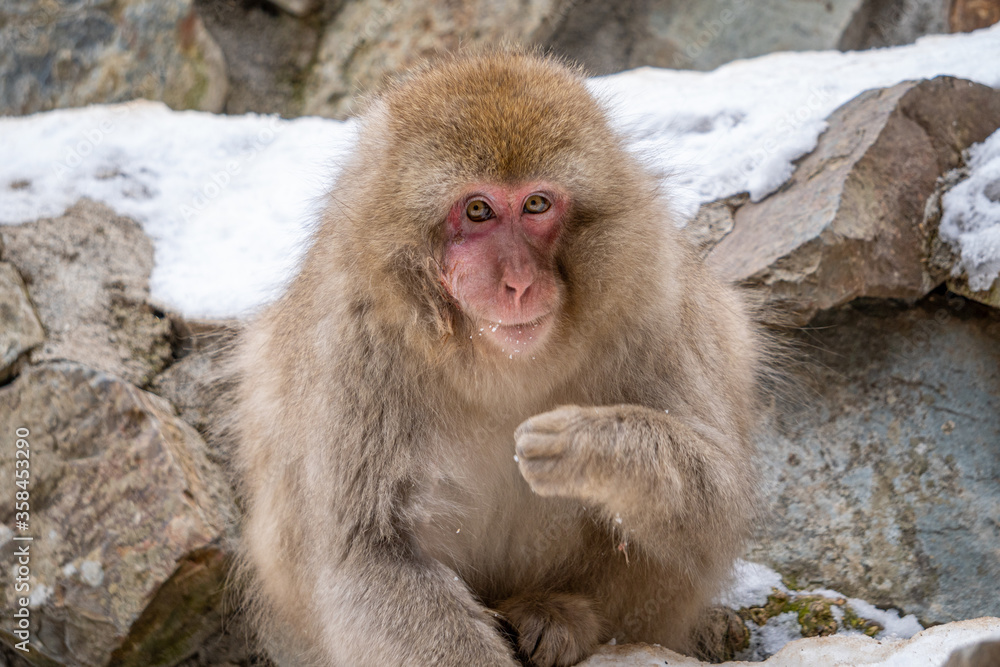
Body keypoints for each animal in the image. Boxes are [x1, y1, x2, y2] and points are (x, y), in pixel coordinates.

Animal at [234, 49, 760, 664]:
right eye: (479, 210)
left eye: (536, 204)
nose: (519, 283)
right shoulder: (353, 345)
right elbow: (373, 552)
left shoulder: (653, 300)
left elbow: (720, 500)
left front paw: (595, 448)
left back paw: (559, 615)